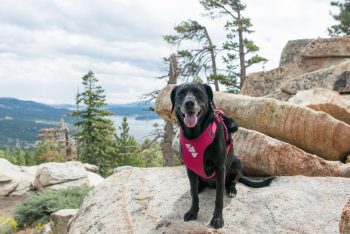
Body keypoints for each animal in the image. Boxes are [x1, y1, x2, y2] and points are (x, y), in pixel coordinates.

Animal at [171, 82, 274, 229]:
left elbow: (218, 198)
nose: (189, 103)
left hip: (237, 162)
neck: (195, 134)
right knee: (197, 187)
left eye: (198, 93)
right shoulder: (190, 168)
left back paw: (231, 189)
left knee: (233, 181)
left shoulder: (220, 169)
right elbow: (194, 196)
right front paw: (192, 212)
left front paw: (217, 219)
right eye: (180, 94)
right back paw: (199, 187)